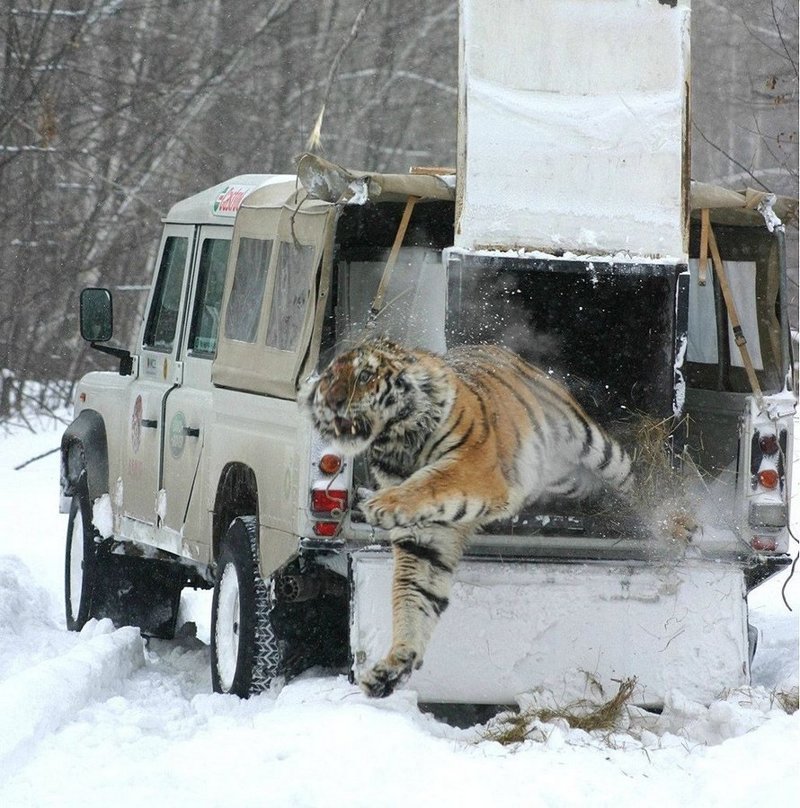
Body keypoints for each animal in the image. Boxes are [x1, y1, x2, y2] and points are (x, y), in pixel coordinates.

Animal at [298, 338, 632, 696]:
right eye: (330, 378)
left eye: (364, 376)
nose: (332, 401)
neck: (397, 443)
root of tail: (499, 349)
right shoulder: (426, 539)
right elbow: (413, 596)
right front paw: (394, 666)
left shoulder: (472, 467)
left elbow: (431, 480)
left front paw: (381, 503)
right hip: (563, 476)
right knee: (589, 484)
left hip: (591, 444)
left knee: (628, 471)